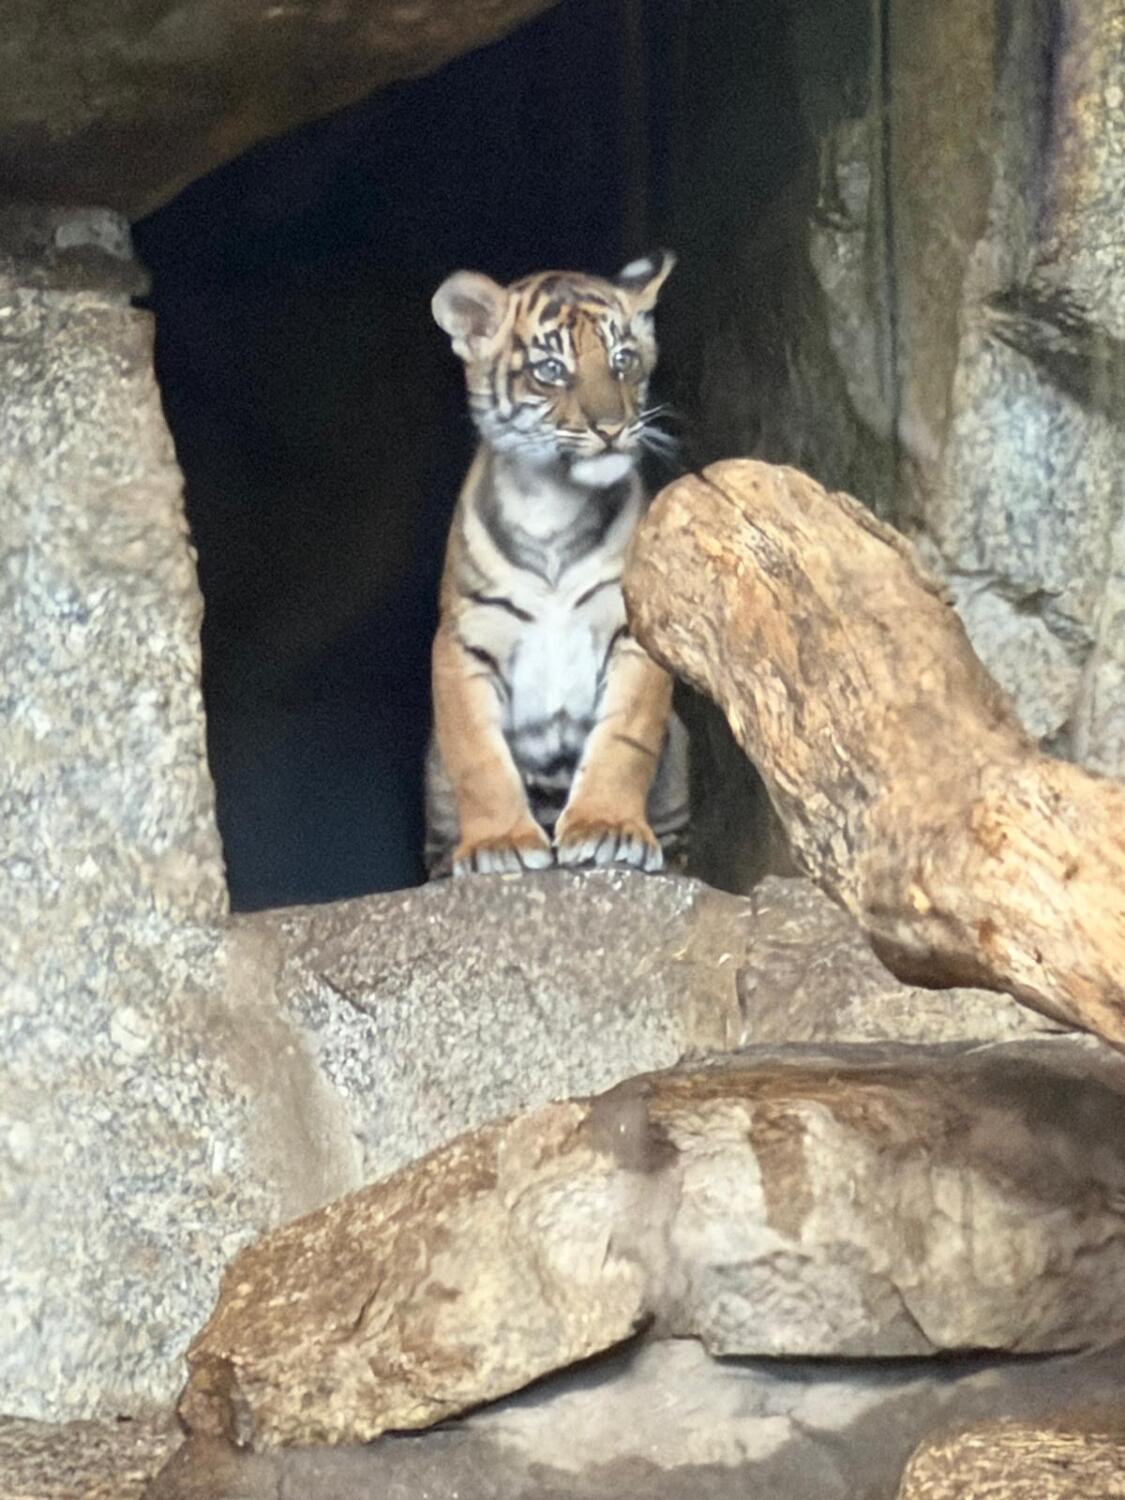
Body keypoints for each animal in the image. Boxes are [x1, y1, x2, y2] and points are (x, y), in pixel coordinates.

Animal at [423, 251, 689, 878]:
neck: (553, 507)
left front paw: (608, 827)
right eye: (550, 370)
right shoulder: (462, 640)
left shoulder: (634, 634)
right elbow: (477, 754)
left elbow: (623, 742)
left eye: (622, 360)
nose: (611, 428)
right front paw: (498, 842)